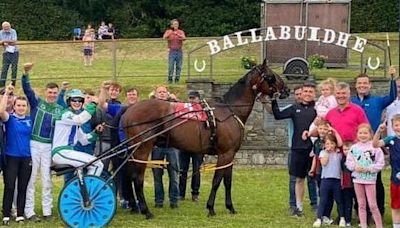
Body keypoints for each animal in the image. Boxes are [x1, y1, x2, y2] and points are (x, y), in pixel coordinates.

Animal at [120, 59, 290, 219]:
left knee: (129, 176)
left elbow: (227, 181)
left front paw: (230, 207)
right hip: (142, 149)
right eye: (271, 76)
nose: (286, 90)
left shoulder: (230, 155)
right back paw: (146, 211)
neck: (229, 110)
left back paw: (135, 207)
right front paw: (211, 208)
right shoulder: (225, 153)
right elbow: (217, 181)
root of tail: (129, 110)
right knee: (137, 179)